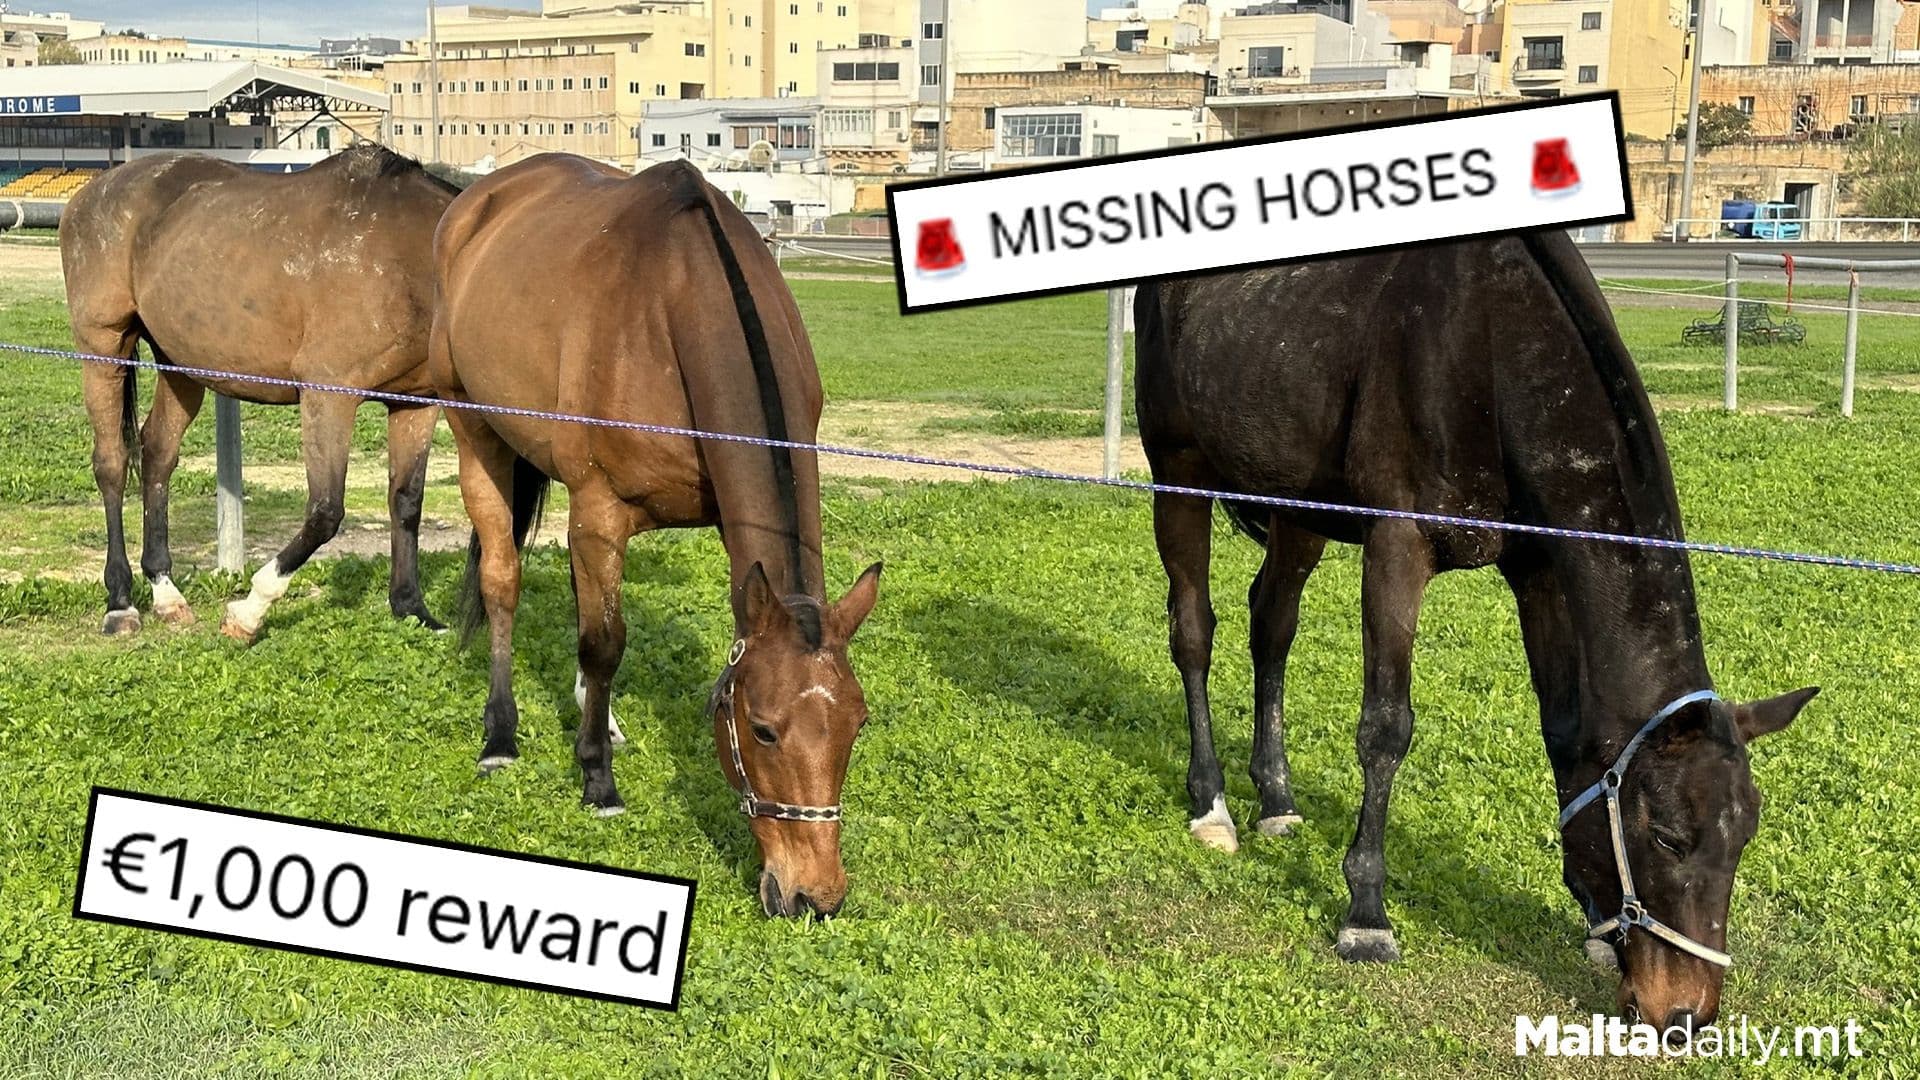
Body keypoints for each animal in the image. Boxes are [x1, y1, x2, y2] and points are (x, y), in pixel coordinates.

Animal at [60, 144, 459, 641]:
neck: (409, 257)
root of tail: (88, 192)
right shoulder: (328, 395)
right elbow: (325, 512)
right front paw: (250, 611)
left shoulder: (415, 403)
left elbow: (406, 502)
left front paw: (412, 608)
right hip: (103, 348)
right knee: (112, 462)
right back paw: (120, 602)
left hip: (180, 365)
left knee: (158, 455)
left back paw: (165, 592)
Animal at [430, 155, 882, 919]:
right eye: (762, 728)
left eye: (858, 722)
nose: (813, 896)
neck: (680, 300)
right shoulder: (601, 508)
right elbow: (605, 642)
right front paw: (596, 779)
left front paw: (596, 730)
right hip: (474, 430)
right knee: (502, 581)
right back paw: (502, 733)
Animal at [1133, 229, 1818, 1030]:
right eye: (1667, 836)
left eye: (1744, 837)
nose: (1685, 1013)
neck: (1493, 347)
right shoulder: (1397, 547)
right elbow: (1385, 729)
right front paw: (1366, 913)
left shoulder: (1539, 569)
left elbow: (1565, 731)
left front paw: (1593, 922)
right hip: (1178, 472)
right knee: (1193, 631)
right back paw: (1212, 804)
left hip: (1297, 507)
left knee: (1272, 623)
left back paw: (1276, 799)